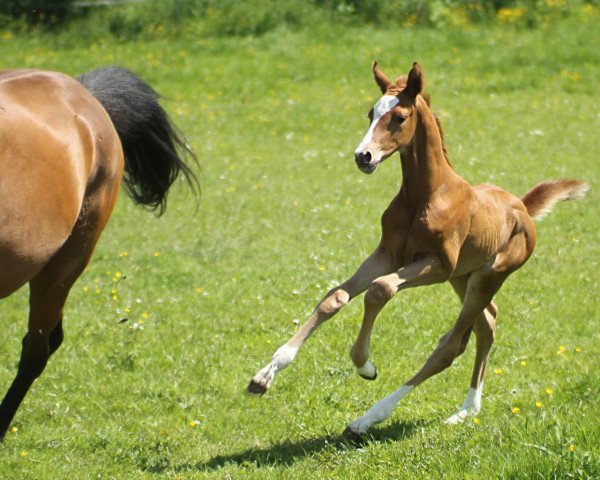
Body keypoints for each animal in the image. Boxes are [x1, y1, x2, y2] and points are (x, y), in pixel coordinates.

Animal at [247, 61, 584, 438]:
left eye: (399, 117)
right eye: (370, 113)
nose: (363, 156)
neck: (425, 196)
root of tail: (522, 207)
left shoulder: (437, 264)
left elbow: (380, 290)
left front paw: (365, 366)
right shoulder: (387, 255)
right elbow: (335, 297)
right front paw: (264, 375)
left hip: (487, 275)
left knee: (450, 346)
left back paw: (370, 418)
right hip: (464, 278)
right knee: (486, 324)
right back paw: (467, 409)